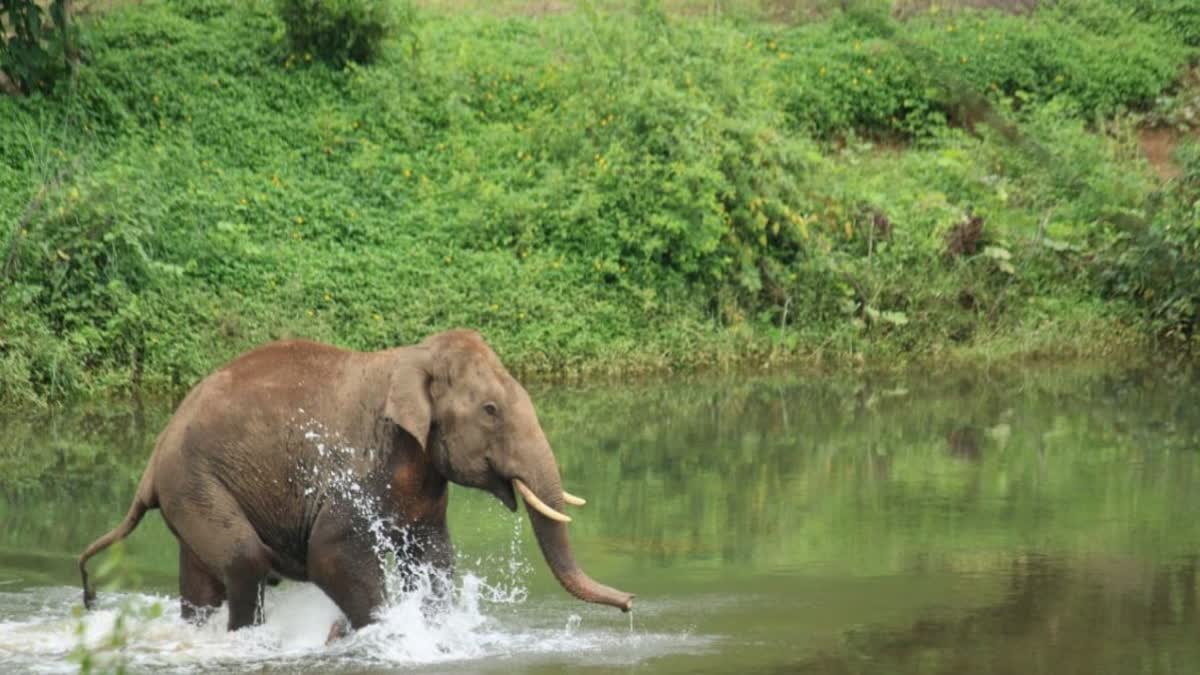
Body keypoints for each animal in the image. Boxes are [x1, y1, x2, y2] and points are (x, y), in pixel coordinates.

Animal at [78, 329, 633, 629]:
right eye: (491, 411)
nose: (629, 603)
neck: (413, 355)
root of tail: (151, 464)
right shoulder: (354, 468)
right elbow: (330, 554)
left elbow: (434, 557)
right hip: (195, 483)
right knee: (245, 561)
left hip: (191, 492)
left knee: (202, 580)